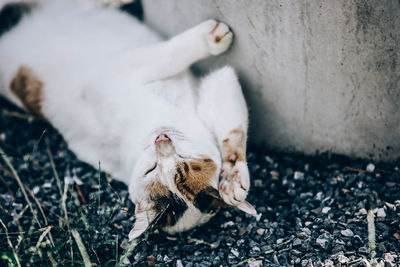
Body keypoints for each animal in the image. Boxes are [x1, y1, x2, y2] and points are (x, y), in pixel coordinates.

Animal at [0, 0, 256, 241]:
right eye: (151, 170)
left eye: (185, 161)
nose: (162, 140)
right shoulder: (125, 68)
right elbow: (169, 55)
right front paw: (210, 38)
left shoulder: (216, 85)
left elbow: (233, 133)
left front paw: (233, 179)